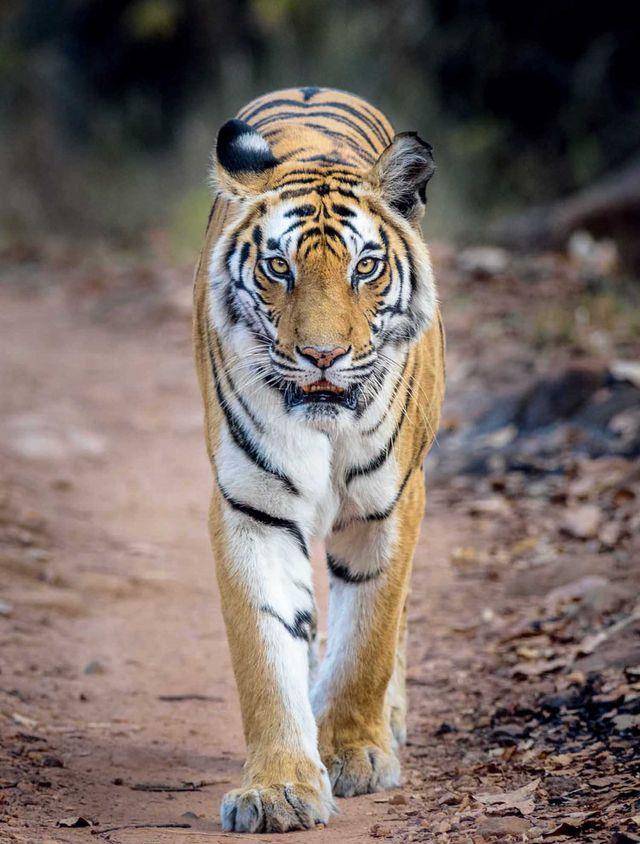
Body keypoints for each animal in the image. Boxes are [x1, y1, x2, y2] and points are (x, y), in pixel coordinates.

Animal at [193, 86, 445, 834]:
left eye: (366, 267)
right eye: (279, 267)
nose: (323, 356)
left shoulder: (392, 503)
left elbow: (370, 635)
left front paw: (356, 754)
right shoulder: (250, 508)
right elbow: (267, 649)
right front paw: (278, 788)